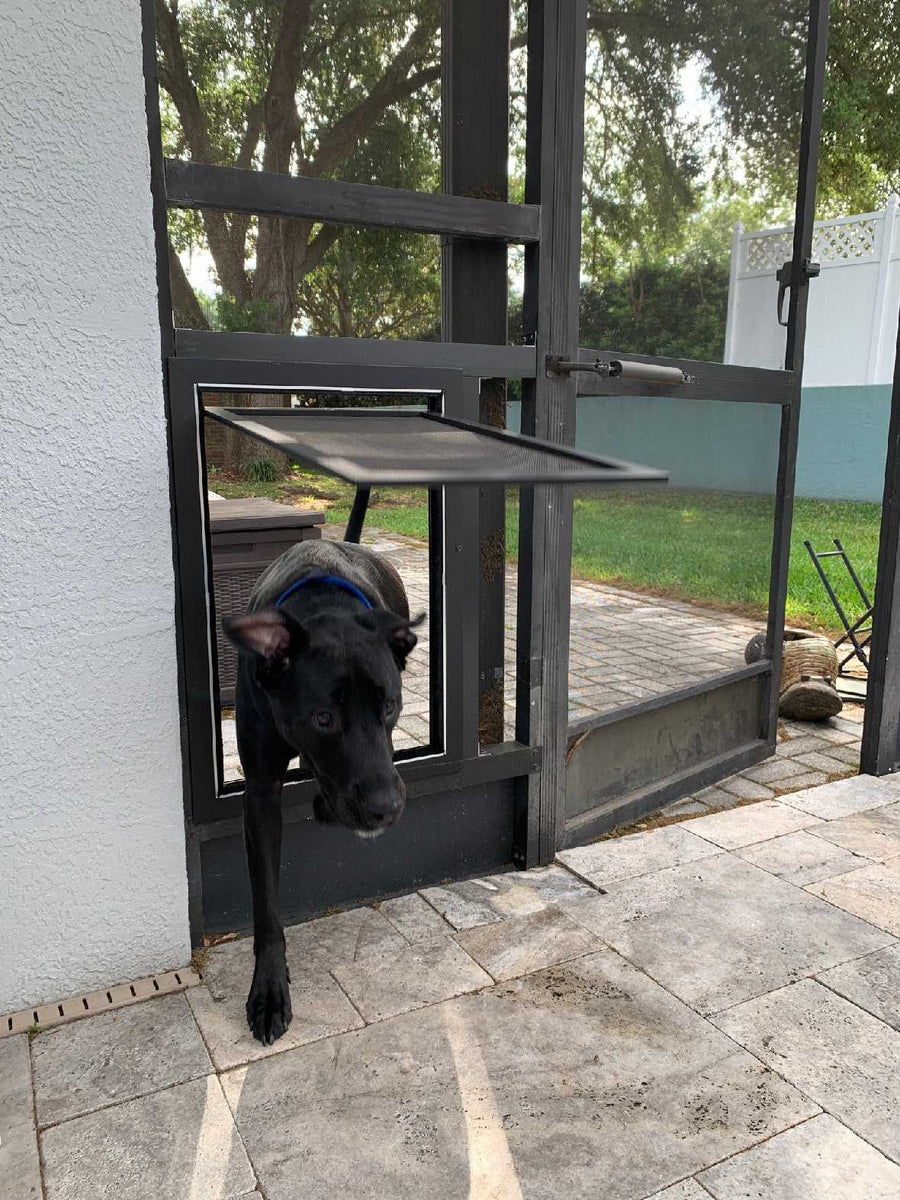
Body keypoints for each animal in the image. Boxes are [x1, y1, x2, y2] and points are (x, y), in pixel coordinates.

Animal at [225, 540, 422, 1046]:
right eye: (323, 718)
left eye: (390, 706)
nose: (386, 808)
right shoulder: (260, 793)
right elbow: (267, 905)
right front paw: (269, 991)